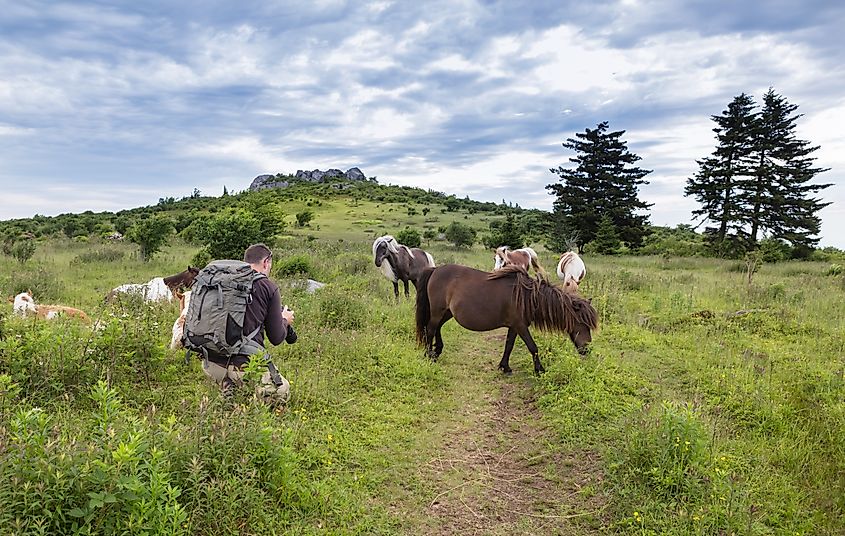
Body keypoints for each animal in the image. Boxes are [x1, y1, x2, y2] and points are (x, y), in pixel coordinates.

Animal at [416, 264, 600, 372]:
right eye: (583, 324)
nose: (587, 350)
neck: (527, 297)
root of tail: (435, 270)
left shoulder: (514, 326)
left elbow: (509, 346)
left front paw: (504, 367)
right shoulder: (520, 326)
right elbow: (533, 347)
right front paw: (539, 369)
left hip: (447, 312)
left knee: (436, 327)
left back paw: (437, 351)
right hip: (438, 310)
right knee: (431, 329)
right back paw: (429, 355)